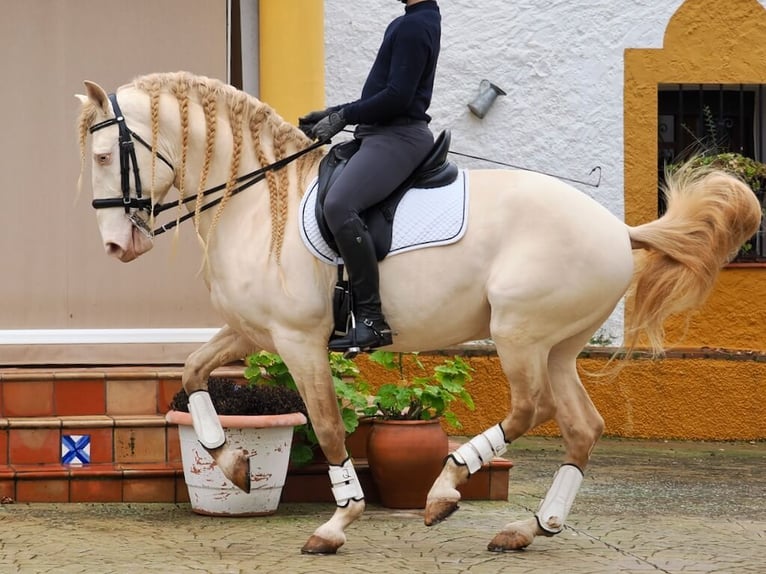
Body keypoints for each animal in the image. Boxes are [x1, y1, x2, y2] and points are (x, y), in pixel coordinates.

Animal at [76, 70, 760, 556]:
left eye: (106, 156)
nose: (114, 246)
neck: (258, 201)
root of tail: (619, 229)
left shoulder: (299, 341)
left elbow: (328, 428)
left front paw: (337, 523)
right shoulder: (252, 331)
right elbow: (192, 372)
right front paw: (232, 464)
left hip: (518, 332)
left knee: (530, 408)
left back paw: (447, 488)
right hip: (558, 346)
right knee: (581, 427)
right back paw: (531, 527)